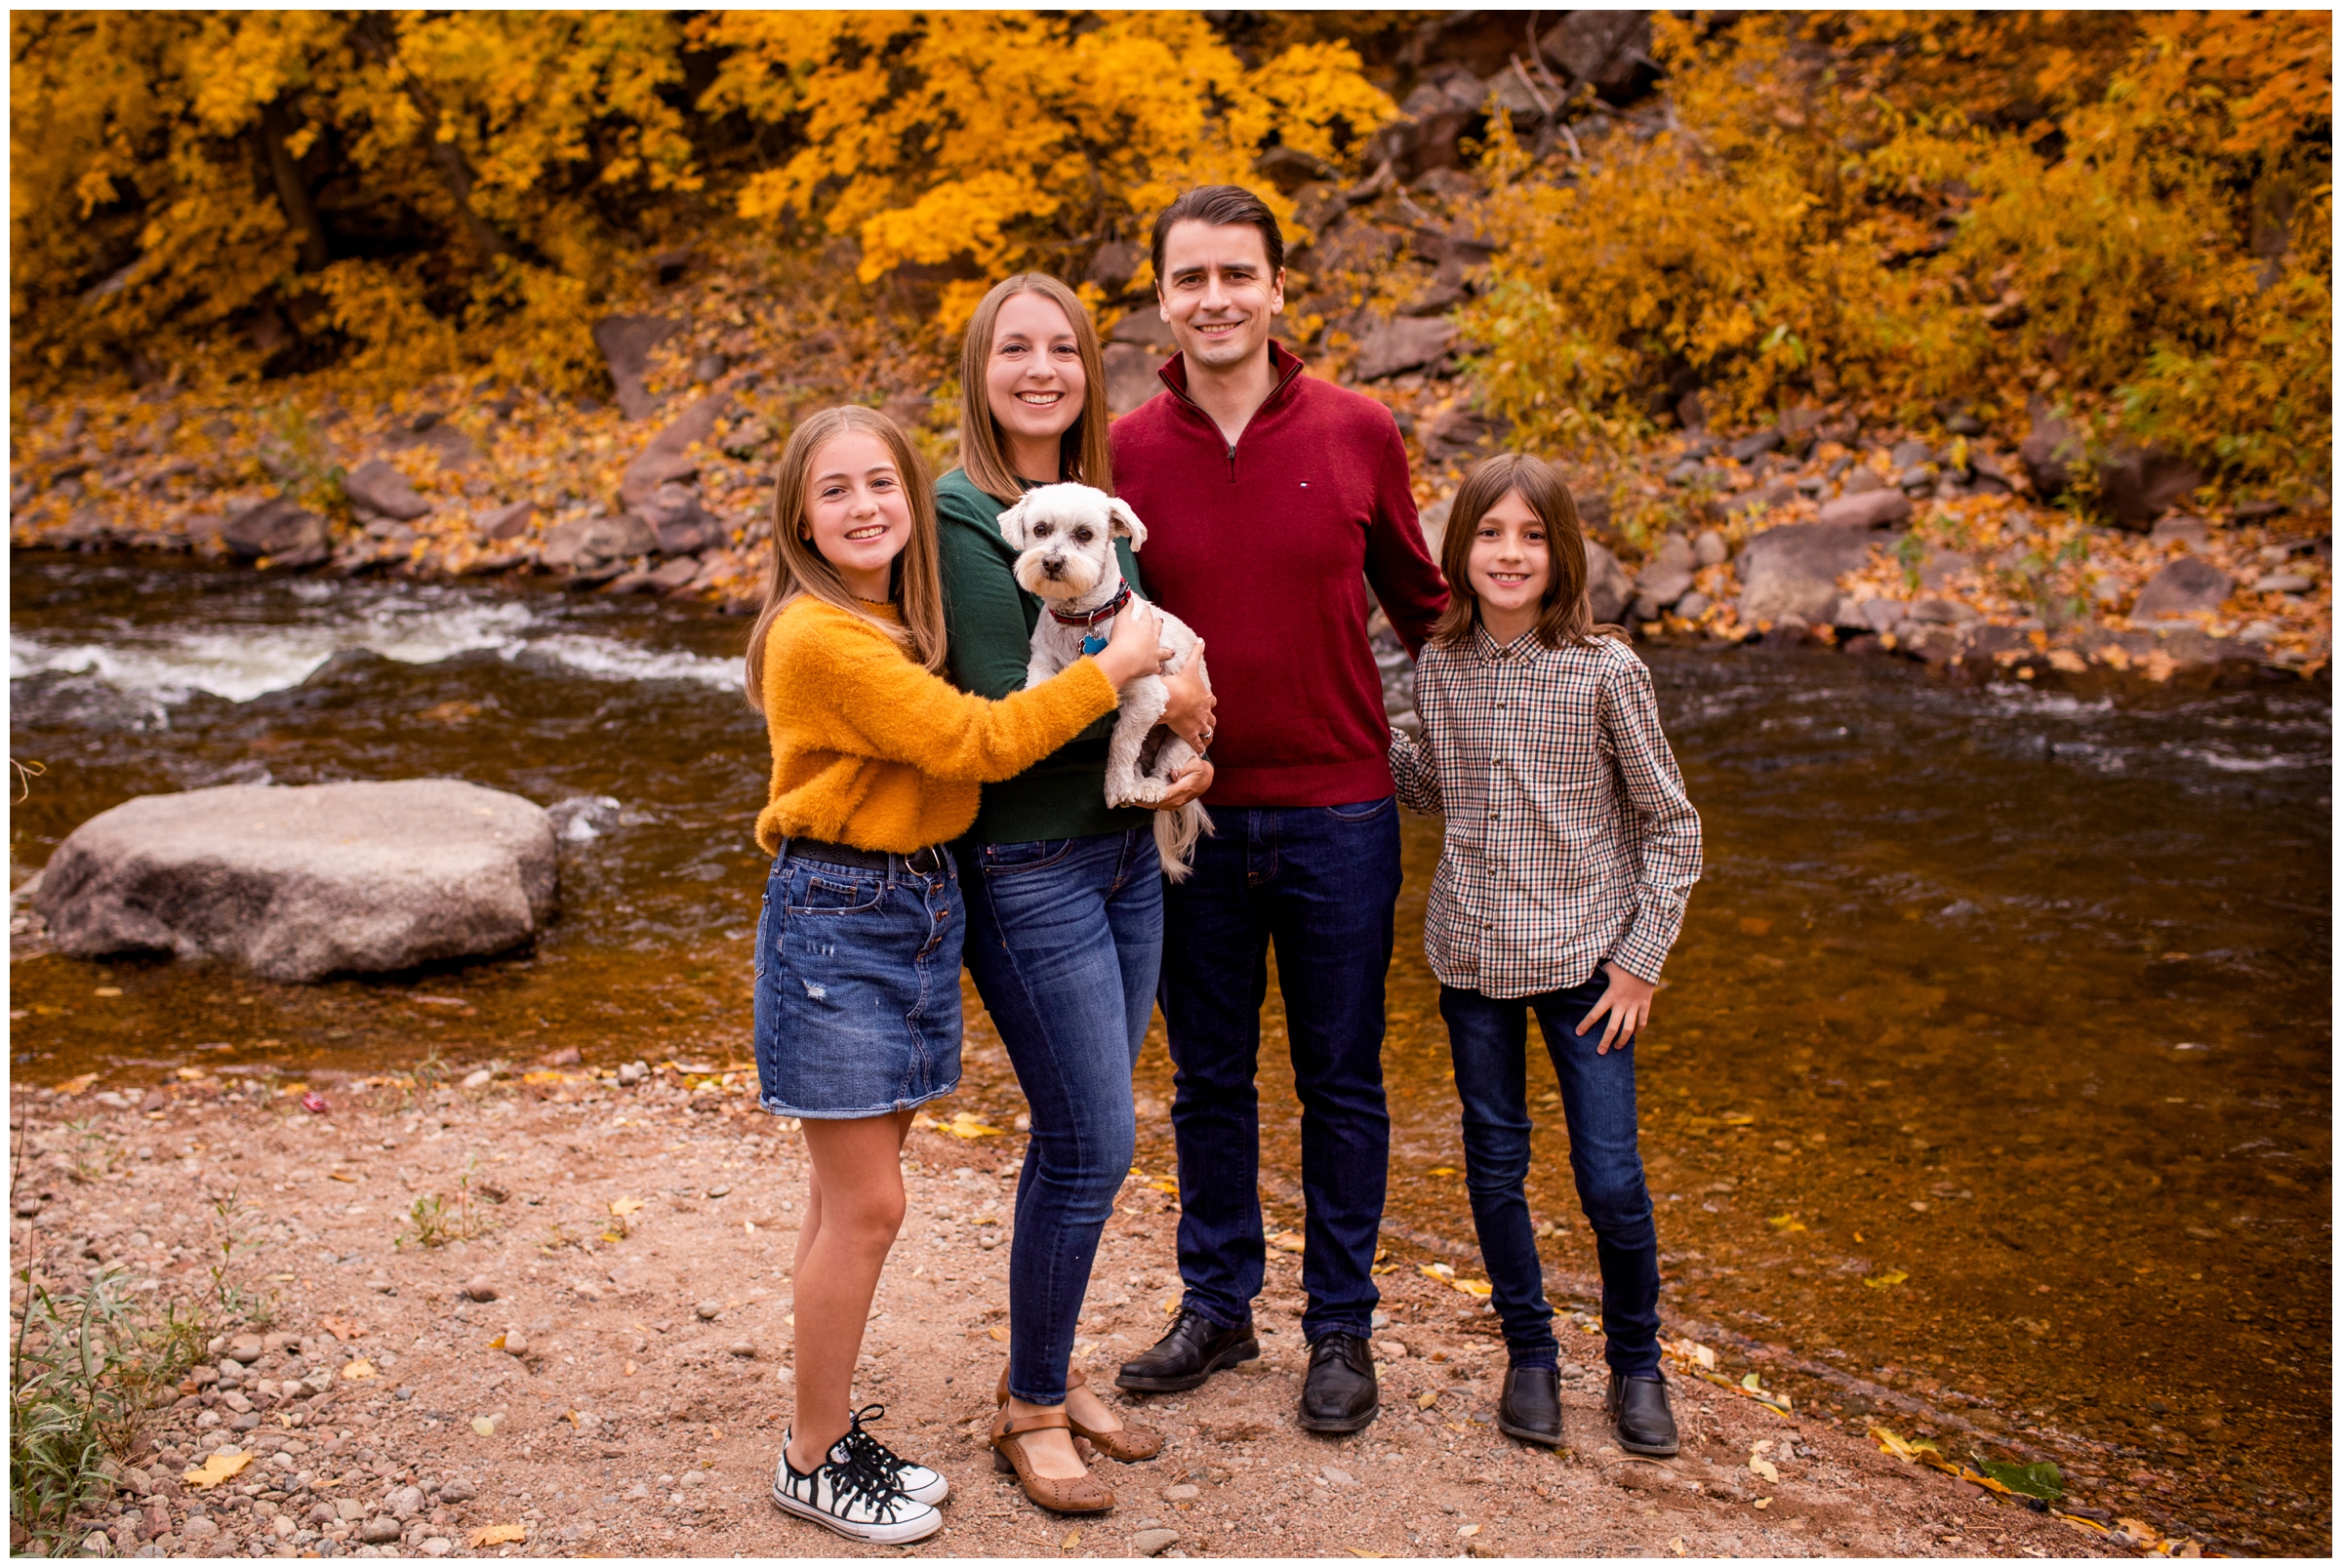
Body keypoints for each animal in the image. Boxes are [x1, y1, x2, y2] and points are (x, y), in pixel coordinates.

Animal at [992, 484, 1218, 879]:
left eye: (1084, 534)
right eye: (1040, 530)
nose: (1052, 562)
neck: (1082, 619)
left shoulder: (1149, 695)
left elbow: (1121, 742)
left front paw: (1116, 787)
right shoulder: (1043, 658)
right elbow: (1039, 685)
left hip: (1185, 741)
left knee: (1164, 770)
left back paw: (1146, 787)